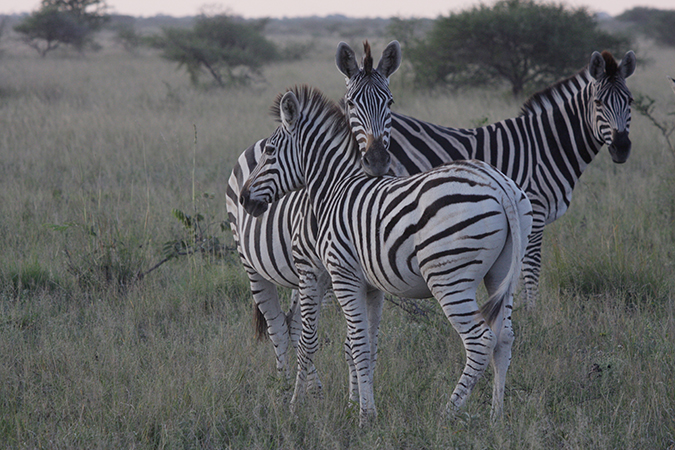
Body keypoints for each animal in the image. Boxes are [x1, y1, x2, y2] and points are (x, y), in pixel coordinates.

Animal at [225, 41, 401, 381]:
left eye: (390, 101)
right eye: (350, 103)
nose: (376, 160)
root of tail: (257, 141)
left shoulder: (350, 277)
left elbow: (355, 344)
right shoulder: (314, 271)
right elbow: (312, 339)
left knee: (293, 327)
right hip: (253, 266)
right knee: (279, 328)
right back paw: (284, 384)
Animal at [239, 85, 533, 425]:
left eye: (270, 151)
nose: (244, 198)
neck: (335, 188)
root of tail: (498, 185)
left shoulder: (343, 276)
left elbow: (351, 345)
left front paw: (351, 414)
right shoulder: (371, 286)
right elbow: (365, 347)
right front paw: (364, 409)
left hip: (449, 278)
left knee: (481, 340)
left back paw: (446, 414)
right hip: (501, 272)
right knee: (505, 337)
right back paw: (496, 417)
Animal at [386, 50, 636, 308]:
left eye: (630, 101)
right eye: (598, 103)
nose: (621, 148)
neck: (547, 145)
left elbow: (521, 265)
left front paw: (522, 308)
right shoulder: (535, 207)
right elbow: (531, 265)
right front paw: (532, 310)